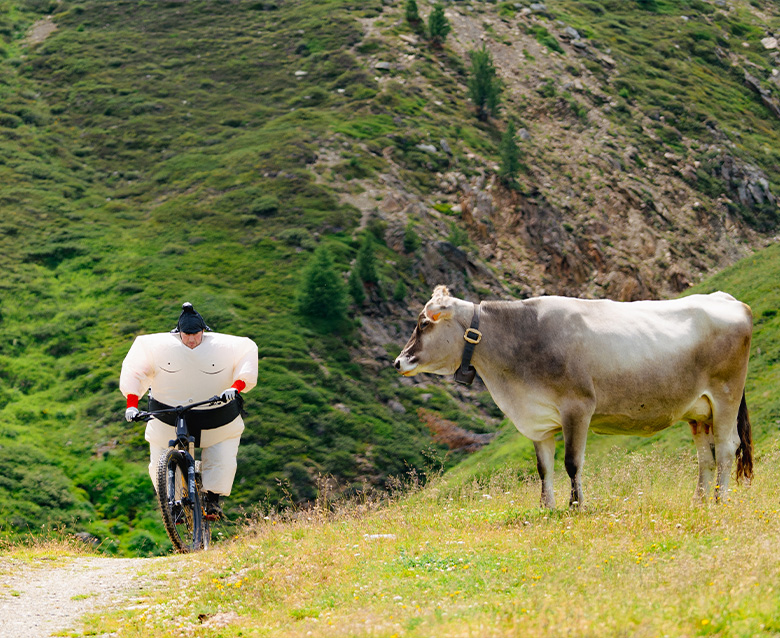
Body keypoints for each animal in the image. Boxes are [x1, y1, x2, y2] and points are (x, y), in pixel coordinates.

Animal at [394, 285, 753, 508]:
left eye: (424, 324)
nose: (399, 361)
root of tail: (729, 299)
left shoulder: (577, 407)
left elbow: (571, 462)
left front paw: (575, 504)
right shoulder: (537, 418)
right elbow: (544, 467)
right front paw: (546, 507)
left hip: (726, 395)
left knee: (726, 449)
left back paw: (720, 501)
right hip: (698, 411)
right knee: (705, 456)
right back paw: (699, 501)